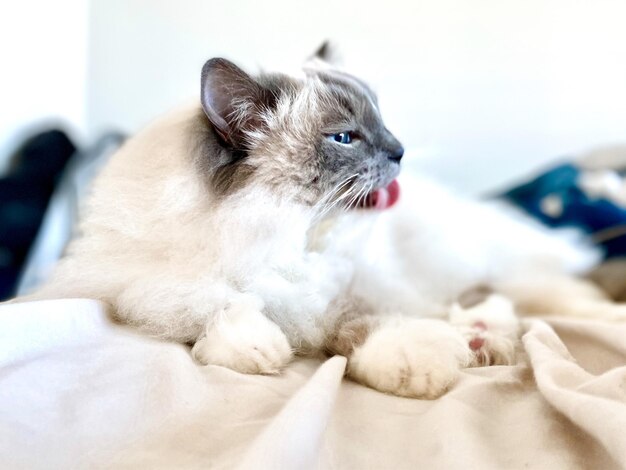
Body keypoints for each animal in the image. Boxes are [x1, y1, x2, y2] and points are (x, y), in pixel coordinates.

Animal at [24, 47, 624, 398]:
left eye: (381, 123)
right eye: (345, 138)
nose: (401, 151)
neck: (284, 238)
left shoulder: (357, 288)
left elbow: (366, 324)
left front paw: (417, 366)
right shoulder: (140, 289)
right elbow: (212, 308)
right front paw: (259, 350)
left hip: (481, 259)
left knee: (529, 293)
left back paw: (491, 337)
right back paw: (481, 341)